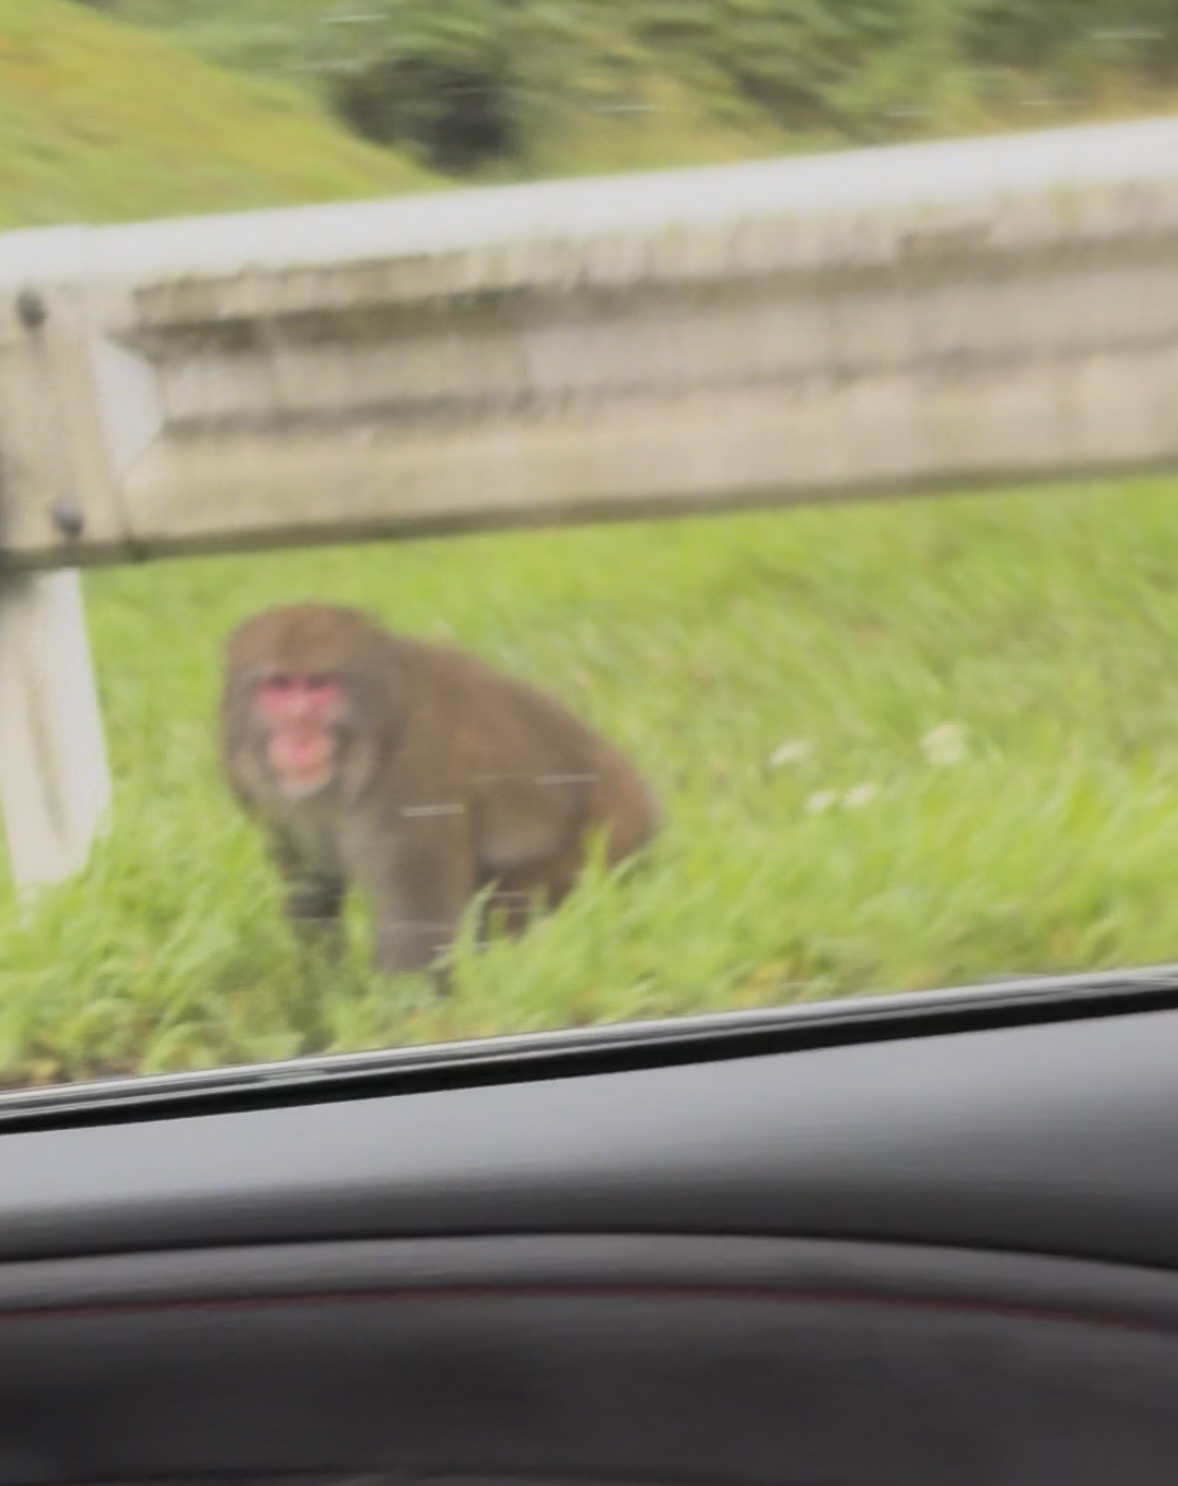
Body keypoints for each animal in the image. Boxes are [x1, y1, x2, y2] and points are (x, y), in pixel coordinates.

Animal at [220, 602, 660, 984]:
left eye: (318, 686)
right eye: (279, 686)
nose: (298, 737)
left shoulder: (409, 780)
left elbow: (417, 933)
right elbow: (312, 894)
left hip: (606, 840)